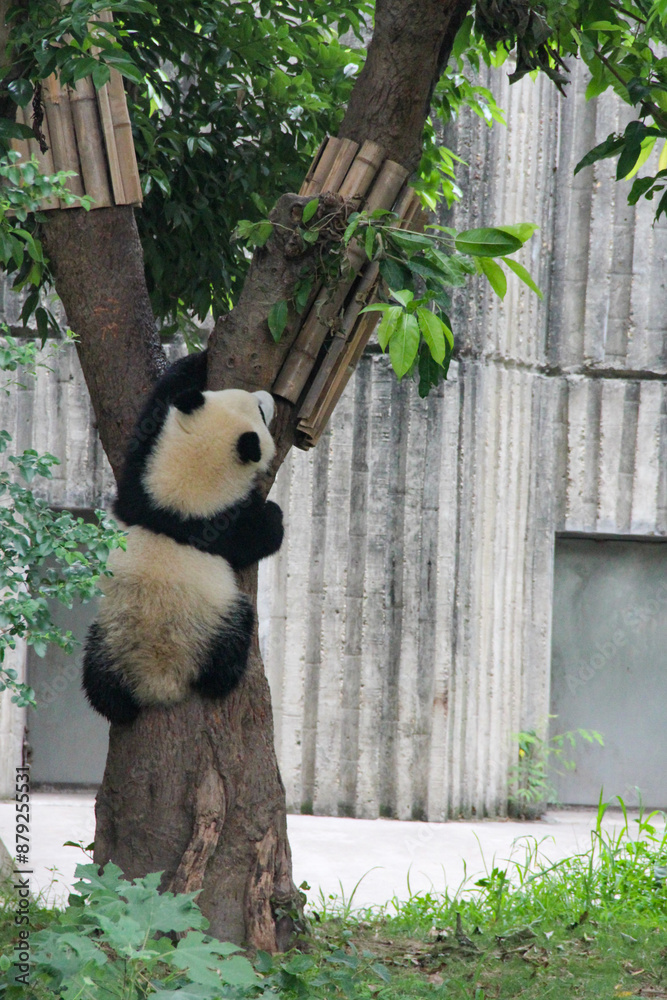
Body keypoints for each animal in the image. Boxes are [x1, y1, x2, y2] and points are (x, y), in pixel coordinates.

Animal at [82, 350, 283, 725]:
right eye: (260, 412)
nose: (269, 397)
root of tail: (158, 682)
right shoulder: (217, 526)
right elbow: (255, 538)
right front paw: (274, 516)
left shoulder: (140, 490)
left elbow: (155, 413)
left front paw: (195, 361)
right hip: (214, 630)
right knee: (233, 640)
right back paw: (222, 681)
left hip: (104, 639)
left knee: (98, 683)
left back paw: (117, 707)